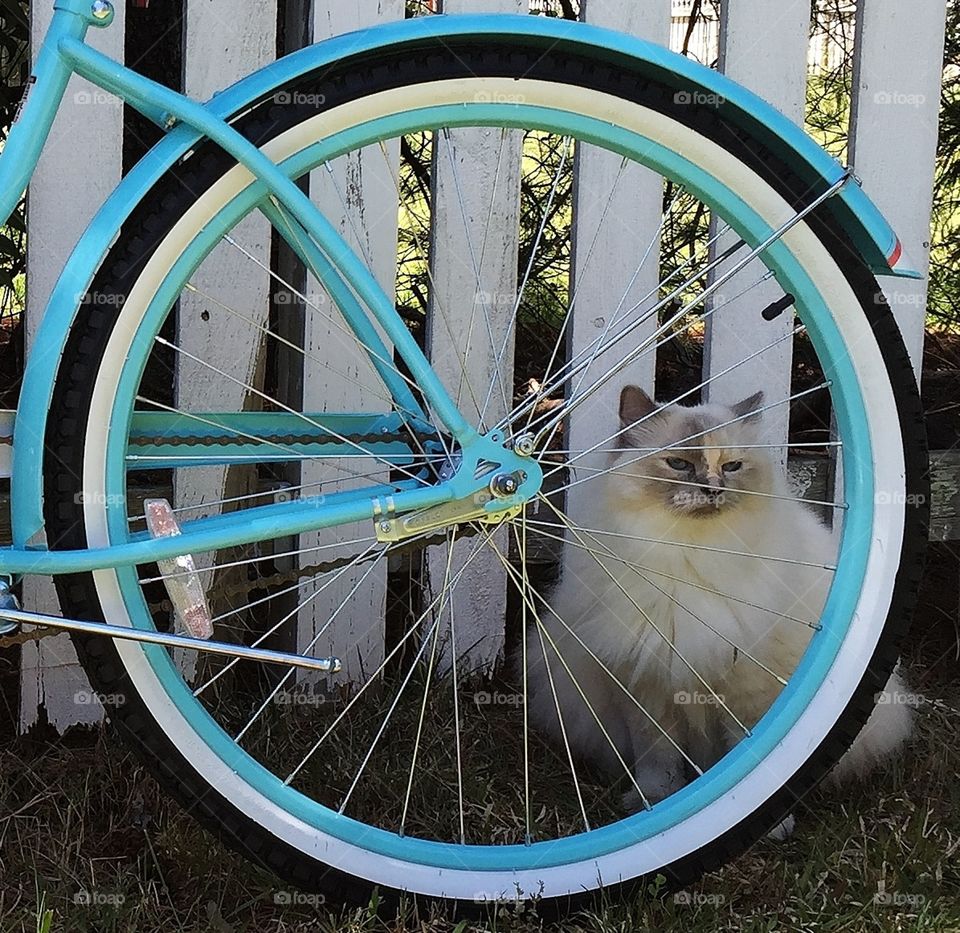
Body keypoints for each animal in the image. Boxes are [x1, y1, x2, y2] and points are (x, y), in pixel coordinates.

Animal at [528, 382, 912, 812]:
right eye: (678, 465)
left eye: (732, 467)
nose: (712, 489)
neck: (689, 554)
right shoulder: (647, 684)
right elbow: (657, 757)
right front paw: (655, 799)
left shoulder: (746, 687)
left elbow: (742, 760)